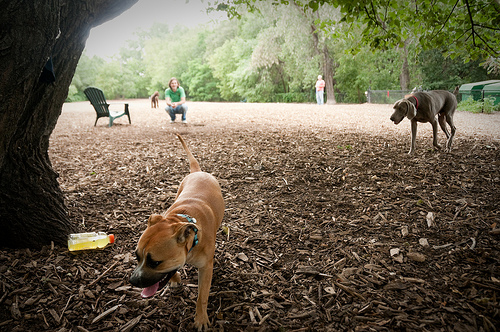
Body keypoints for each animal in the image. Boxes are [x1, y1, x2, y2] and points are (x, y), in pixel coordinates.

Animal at [129, 133, 225, 330]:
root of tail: (197, 171)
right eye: (137, 256)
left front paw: (201, 319)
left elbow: (202, 297)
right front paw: (174, 279)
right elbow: (172, 271)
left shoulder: (206, 268)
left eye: (155, 263)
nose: (133, 281)